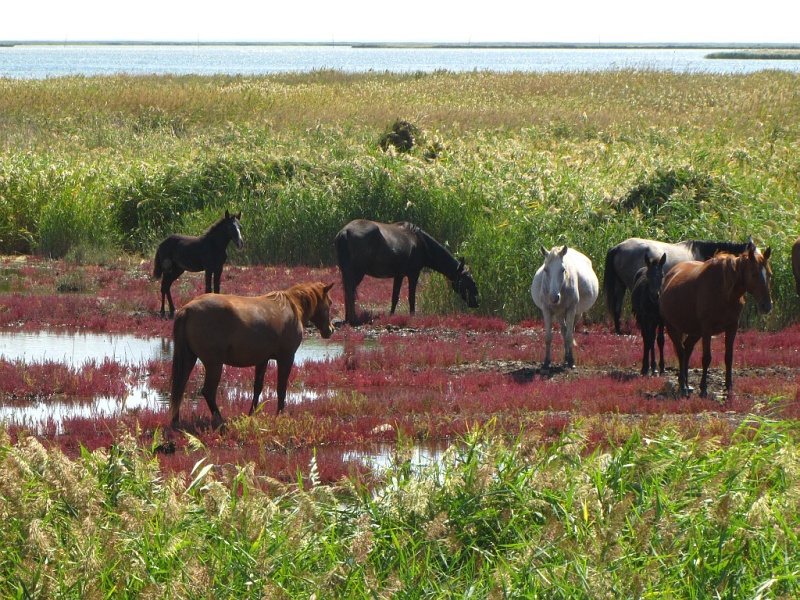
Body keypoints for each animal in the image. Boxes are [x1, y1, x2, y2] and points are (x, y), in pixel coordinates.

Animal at [169, 278, 334, 428]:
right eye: (330, 302)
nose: (330, 330)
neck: (292, 307)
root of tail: (187, 309)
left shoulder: (262, 359)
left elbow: (257, 388)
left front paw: (251, 414)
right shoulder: (286, 358)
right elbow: (281, 388)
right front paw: (280, 415)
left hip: (189, 358)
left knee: (179, 387)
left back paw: (176, 422)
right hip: (214, 364)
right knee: (208, 391)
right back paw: (221, 421)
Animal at [332, 219, 478, 326]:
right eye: (469, 281)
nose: (476, 302)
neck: (419, 241)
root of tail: (345, 231)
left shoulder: (399, 275)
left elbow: (395, 297)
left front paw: (391, 315)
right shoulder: (413, 273)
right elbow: (411, 297)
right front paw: (412, 316)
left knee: (347, 292)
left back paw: (348, 318)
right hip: (357, 273)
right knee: (350, 291)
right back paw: (353, 319)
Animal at [660, 244, 772, 398]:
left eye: (770, 274)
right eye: (754, 273)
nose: (767, 306)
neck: (724, 291)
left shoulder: (732, 326)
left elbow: (729, 357)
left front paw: (729, 388)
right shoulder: (707, 328)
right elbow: (707, 357)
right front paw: (703, 389)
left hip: (695, 331)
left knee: (687, 349)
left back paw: (687, 385)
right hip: (671, 327)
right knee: (681, 352)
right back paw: (682, 386)